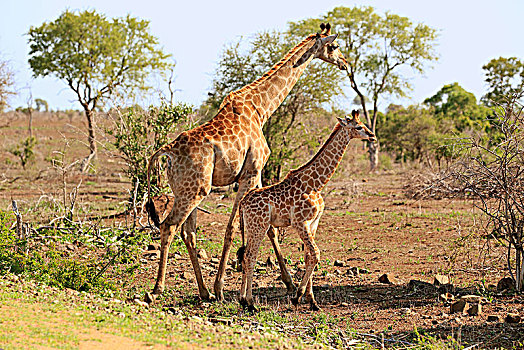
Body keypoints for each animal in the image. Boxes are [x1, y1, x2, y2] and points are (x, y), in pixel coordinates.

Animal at [145, 23, 348, 300]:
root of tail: (168, 152)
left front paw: (286, 282)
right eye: (334, 46)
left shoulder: (257, 173)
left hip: (186, 191)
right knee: (169, 226)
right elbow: (233, 228)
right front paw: (223, 287)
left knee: (188, 233)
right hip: (196, 190)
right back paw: (159, 288)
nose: (345, 64)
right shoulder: (251, 172)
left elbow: (267, 228)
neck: (261, 108)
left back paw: (203, 292)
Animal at [235, 110, 374, 312]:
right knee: (249, 256)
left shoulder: (313, 222)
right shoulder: (300, 222)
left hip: (251, 226)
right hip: (258, 226)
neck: (316, 183)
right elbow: (315, 254)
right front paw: (297, 297)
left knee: (245, 256)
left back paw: (243, 300)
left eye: (363, 124)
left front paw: (312, 301)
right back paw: (251, 303)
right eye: (358, 127)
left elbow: (309, 257)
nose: (372, 136)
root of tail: (242, 203)